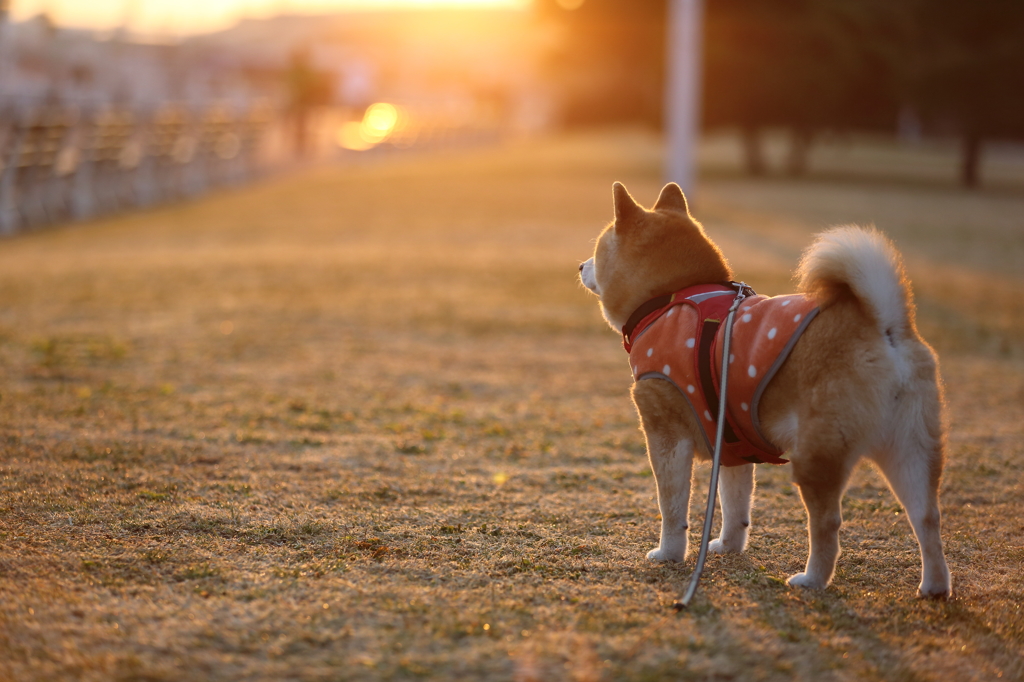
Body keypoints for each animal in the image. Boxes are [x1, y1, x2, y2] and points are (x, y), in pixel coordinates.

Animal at [581, 180, 954, 593]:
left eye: (597, 249)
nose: (580, 266)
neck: (671, 297)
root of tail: (883, 327)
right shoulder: (730, 440)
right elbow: (735, 505)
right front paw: (728, 546)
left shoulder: (665, 432)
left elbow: (672, 507)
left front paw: (669, 554)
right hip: (910, 451)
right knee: (926, 518)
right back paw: (935, 587)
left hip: (816, 456)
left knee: (828, 525)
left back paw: (812, 579)